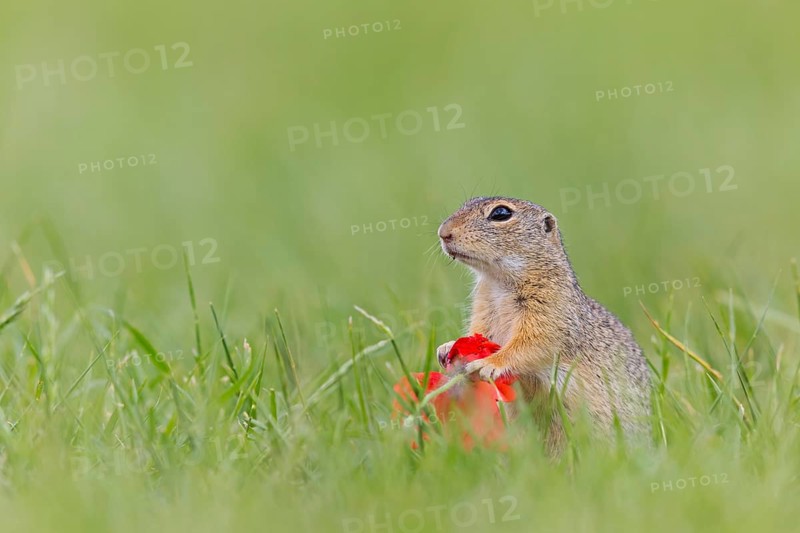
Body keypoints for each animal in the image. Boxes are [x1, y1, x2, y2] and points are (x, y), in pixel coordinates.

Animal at [436, 196, 651, 451]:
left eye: (500, 213)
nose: (443, 232)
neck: (499, 282)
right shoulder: (484, 311)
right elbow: (477, 334)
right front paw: (447, 347)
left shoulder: (550, 312)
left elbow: (531, 344)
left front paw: (489, 363)